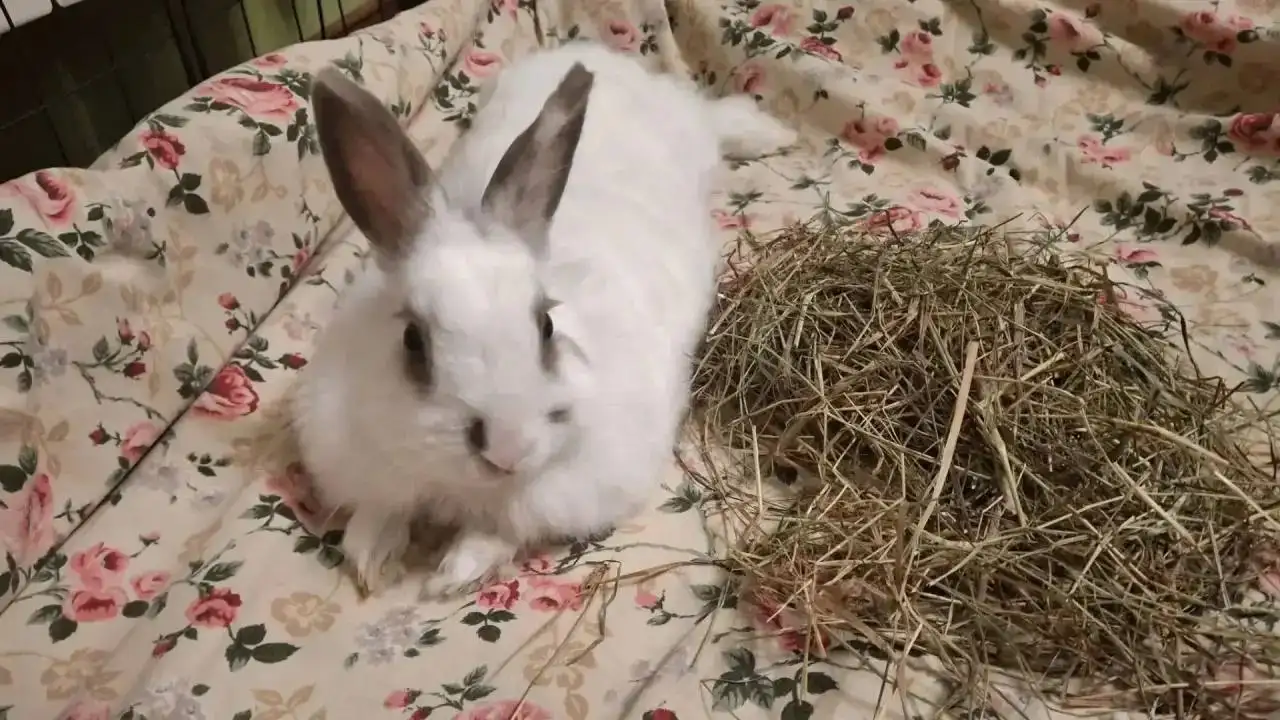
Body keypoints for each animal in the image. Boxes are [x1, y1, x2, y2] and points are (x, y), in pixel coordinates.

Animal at [294, 40, 796, 600]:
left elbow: (503, 530)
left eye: (547, 327)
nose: (508, 450)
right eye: (412, 341)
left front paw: (452, 575)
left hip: (689, 130)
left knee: (713, 118)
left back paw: (771, 134)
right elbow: (378, 509)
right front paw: (371, 559)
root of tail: (593, 50)